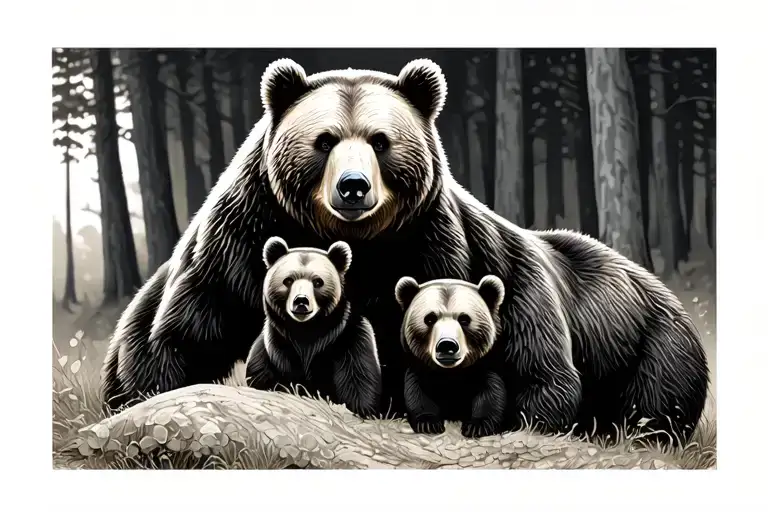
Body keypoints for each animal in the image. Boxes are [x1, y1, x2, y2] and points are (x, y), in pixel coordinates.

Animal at [244, 236, 381, 418]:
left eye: (318, 282)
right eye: (288, 280)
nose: (301, 301)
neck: (306, 330)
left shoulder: (348, 340)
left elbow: (359, 380)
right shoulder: (273, 350)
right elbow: (263, 376)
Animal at [394, 275, 509, 438]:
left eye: (464, 319)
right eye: (429, 319)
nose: (446, 345)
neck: (451, 372)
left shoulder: (485, 364)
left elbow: (492, 391)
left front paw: (477, 425)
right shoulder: (419, 366)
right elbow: (417, 392)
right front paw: (428, 423)